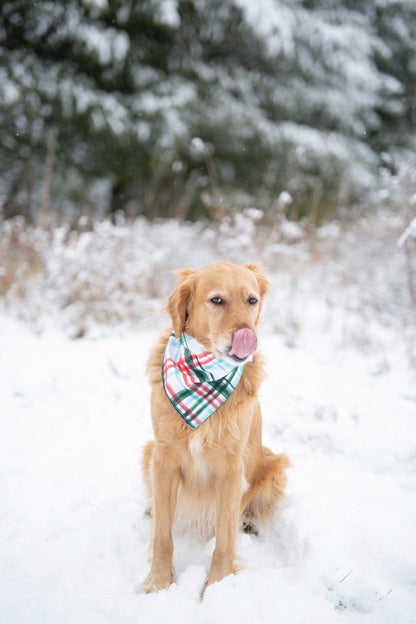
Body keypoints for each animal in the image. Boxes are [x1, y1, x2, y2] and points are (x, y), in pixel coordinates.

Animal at [140, 262, 290, 596]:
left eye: (252, 300)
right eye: (217, 300)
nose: (248, 337)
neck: (205, 374)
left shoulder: (232, 466)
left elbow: (224, 536)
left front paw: (218, 586)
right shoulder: (164, 456)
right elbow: (162, 534)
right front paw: (158, 581)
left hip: (274, 463)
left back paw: (249, 523)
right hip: (148, 451)